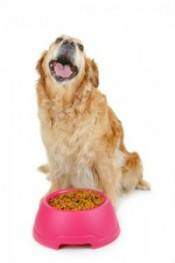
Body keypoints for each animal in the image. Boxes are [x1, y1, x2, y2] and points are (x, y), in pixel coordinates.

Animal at [36, 35, 150, 208]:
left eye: (81, 47)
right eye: (58, 39)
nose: (69, 43)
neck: (65, 107)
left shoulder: (104, 156)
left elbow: (109, 183)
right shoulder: (55, 154)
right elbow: (57, 179)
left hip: (134, 159)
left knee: (134, 179)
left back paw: (142, 184)